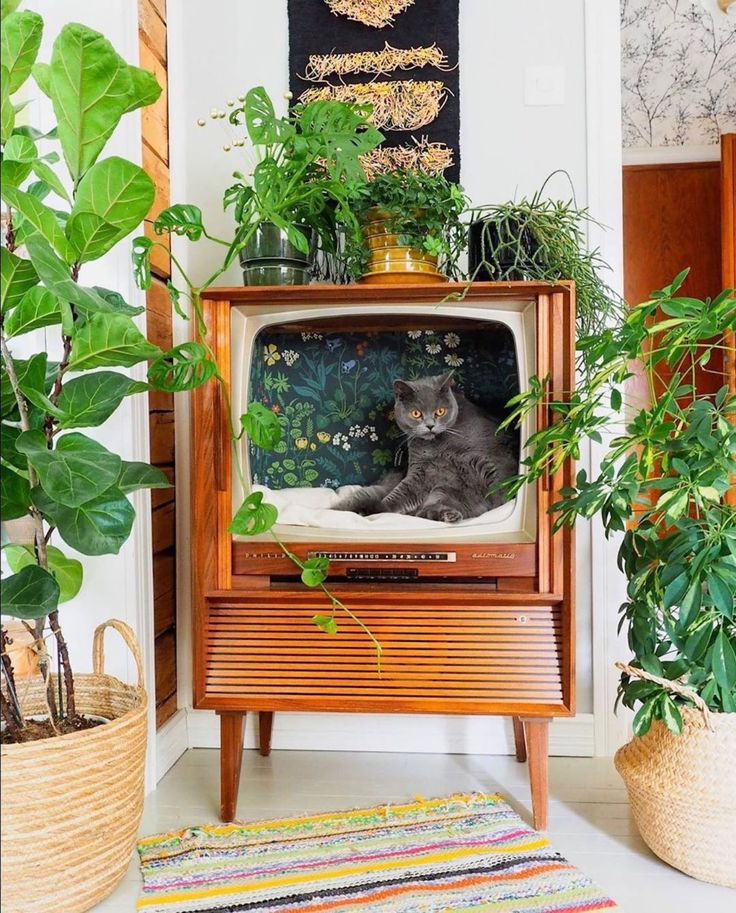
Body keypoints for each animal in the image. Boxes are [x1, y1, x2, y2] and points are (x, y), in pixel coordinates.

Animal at [334, 372, 516, 520]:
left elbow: (500, 487)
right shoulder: (419, 470)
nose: (430, 426)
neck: (439, 445)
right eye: (416, 413)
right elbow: (401, 493)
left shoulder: (491, 459)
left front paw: (499, 509)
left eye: (440, 411)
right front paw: (379, 508)